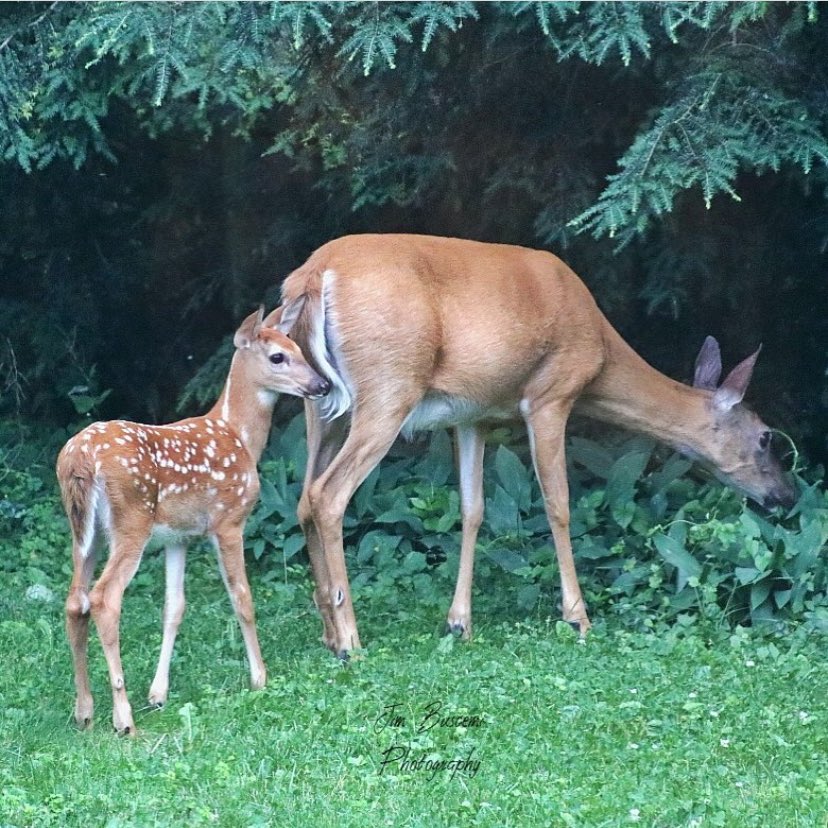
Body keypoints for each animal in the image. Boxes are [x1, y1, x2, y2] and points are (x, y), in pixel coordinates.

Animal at [57, 306, 329, 734]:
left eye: (299, 348)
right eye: (277, 357)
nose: (321, 385)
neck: (238, 434)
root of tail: (79, 459)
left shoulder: (178, 538)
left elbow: (174, 607)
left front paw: (158, 694)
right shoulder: (229, 521)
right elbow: (242, 598)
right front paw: (260, 677)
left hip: (84, 532)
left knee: (75, 601)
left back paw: (85, 711)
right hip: (131, 523)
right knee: (104, 598)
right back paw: (123, 718)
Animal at [278, 233, 797, 658]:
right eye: (765, 436)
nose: (786, 495)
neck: (601, 351)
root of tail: (312, 274)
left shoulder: (473, 414)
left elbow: (473, 509)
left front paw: (459, 623)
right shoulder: (551, 395)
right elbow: (558, 504)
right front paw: (578, 617)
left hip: (318, 403)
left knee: (304, 498)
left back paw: (329, 634)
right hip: (389, 387)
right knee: (329, 494)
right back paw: (350, 641)